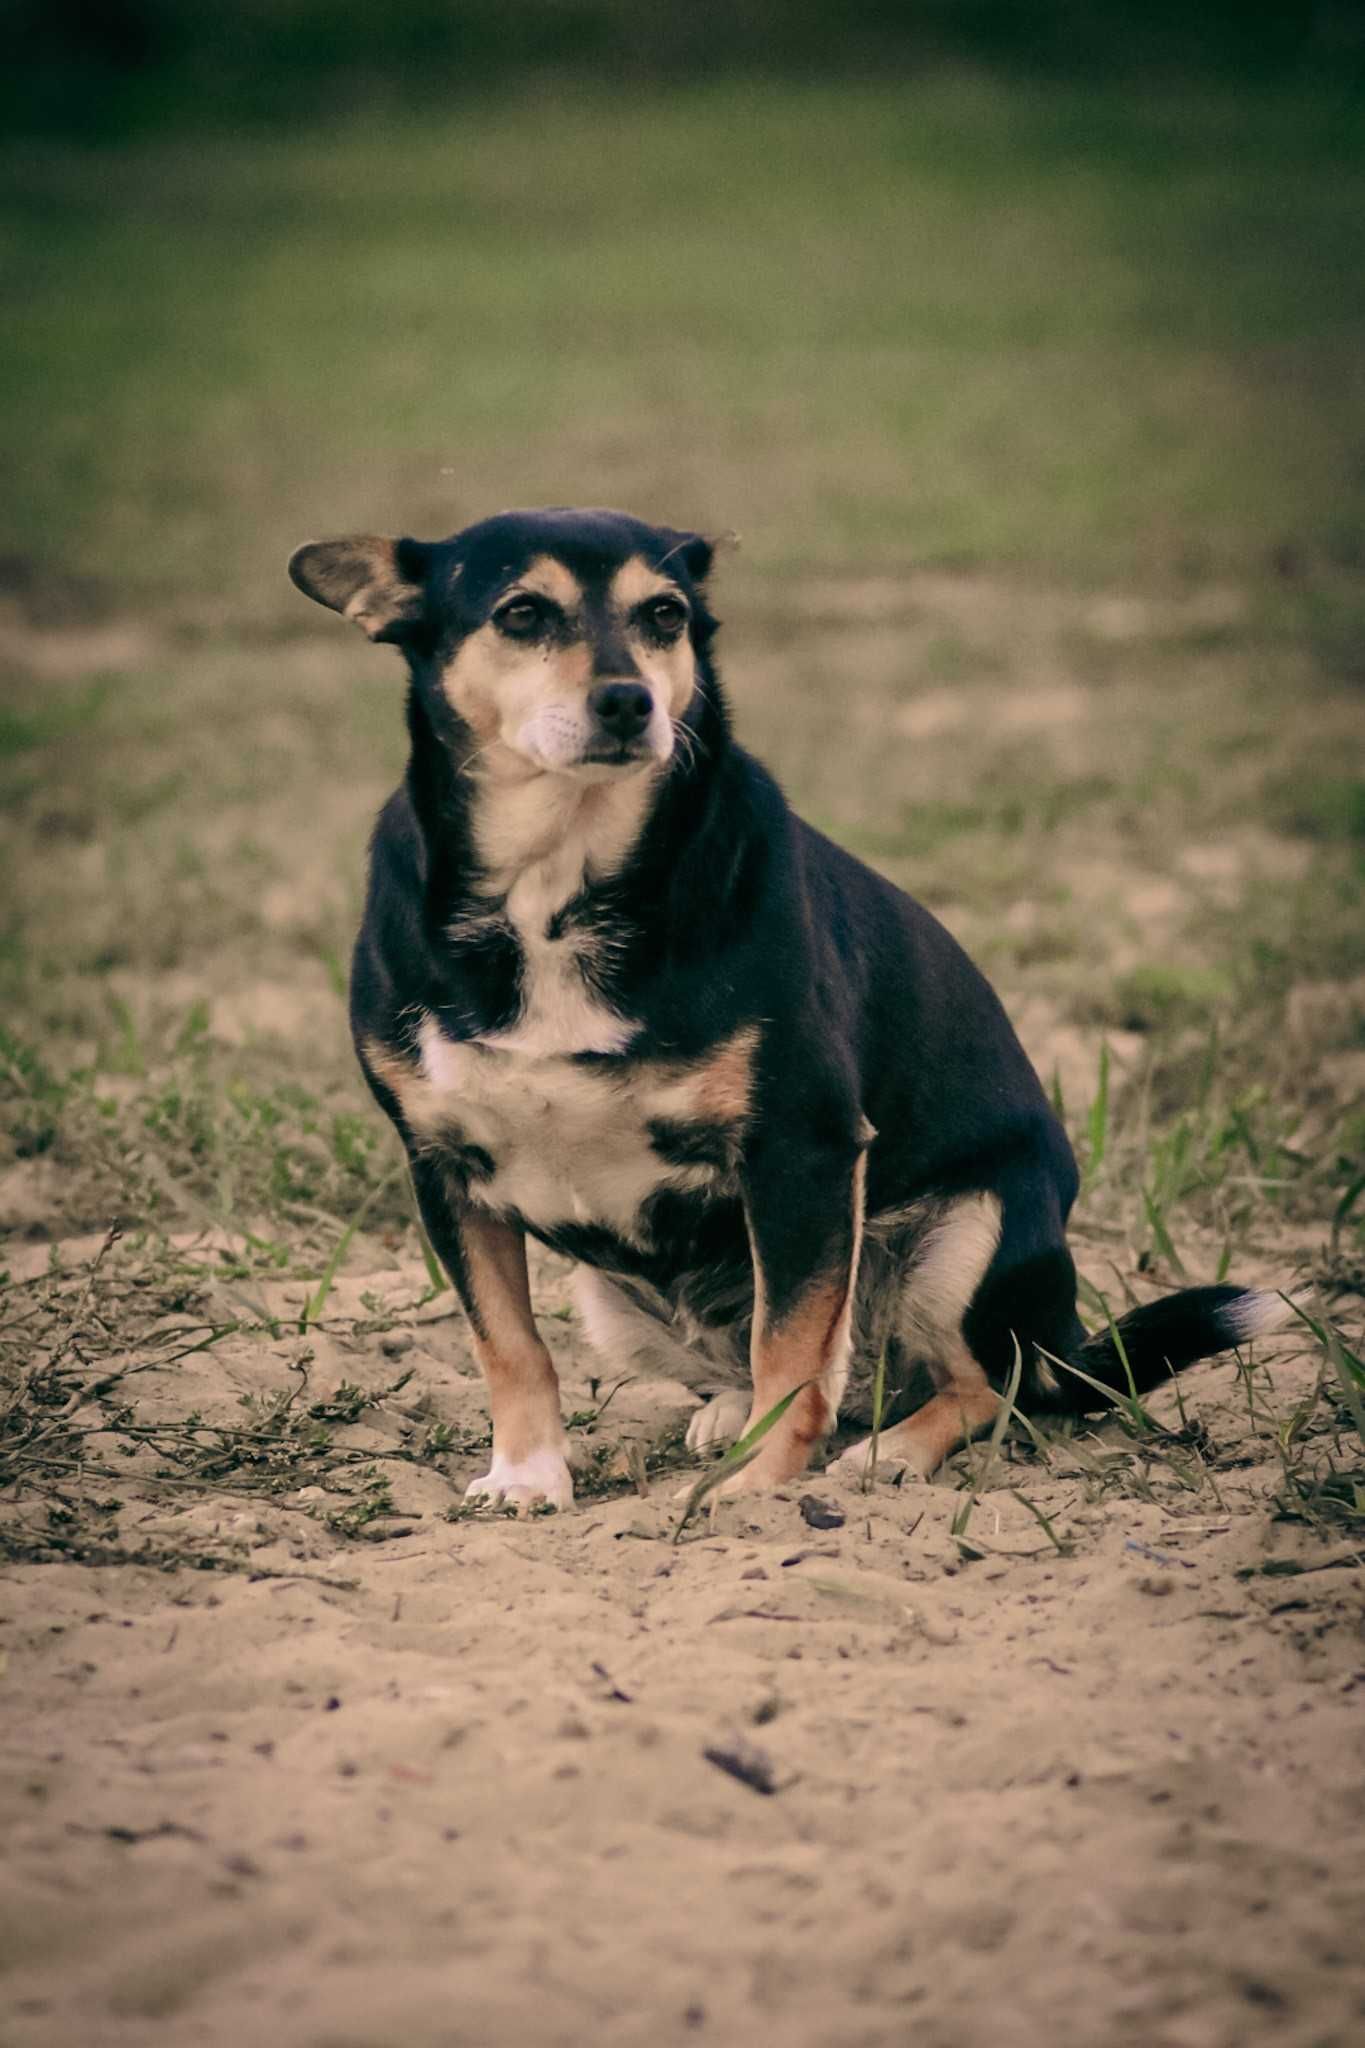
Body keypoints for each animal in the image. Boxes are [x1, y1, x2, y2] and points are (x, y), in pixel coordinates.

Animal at [288, 503, 1293, 1515]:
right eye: (522, 613)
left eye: (663, 616)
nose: (629, 703)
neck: (558, 885)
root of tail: (1064, 1343)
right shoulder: (445, 1171)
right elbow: (509, 1346)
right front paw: (526, 1476)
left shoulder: (800, 1151)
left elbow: (793, 1349)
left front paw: (759, 1485)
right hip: (615, 1302)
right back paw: (734, 1418)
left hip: (969, 1237)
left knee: (978, 1386)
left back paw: (887, 1453)